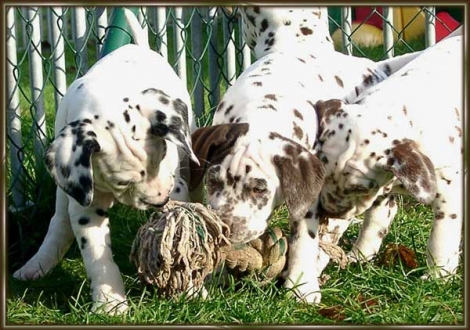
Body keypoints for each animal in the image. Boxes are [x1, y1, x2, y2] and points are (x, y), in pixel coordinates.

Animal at [13, 9, 198, 314]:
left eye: (163, 157)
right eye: (122, 182)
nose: (161, 200)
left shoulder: (178, 184)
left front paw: (190, 287)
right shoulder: (86, 204)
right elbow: (96, 255)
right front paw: (109, 303)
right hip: (65, 193)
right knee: (59, 222)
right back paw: (36, 265)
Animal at [189, 5, 424, 304]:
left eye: (259, 189)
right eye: (213, 181)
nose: (228, 227)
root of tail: (376, 67)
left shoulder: (310, 193)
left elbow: (304, 237)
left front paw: (301, 286)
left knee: (380, 211)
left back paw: (356, 253)